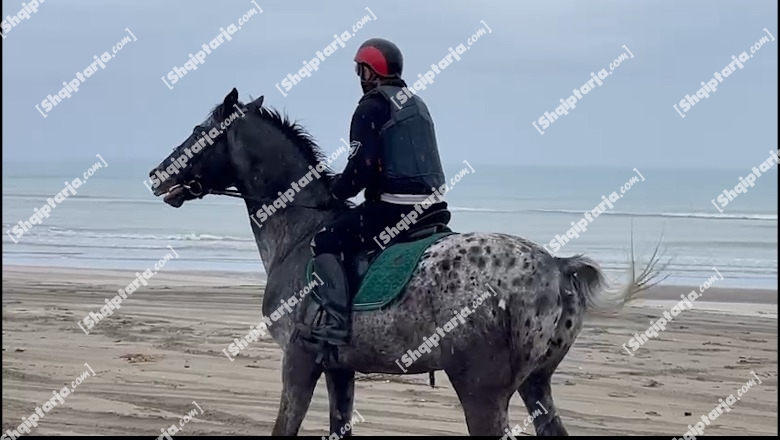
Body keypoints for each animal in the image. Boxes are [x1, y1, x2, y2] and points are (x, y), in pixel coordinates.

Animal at [146, 87, 660, 434]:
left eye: (199, 133)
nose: (155, 174)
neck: (299, 229)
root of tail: (556, 264)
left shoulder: (299, 361)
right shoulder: (339, 369)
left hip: (481, 391)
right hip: (536, 385)